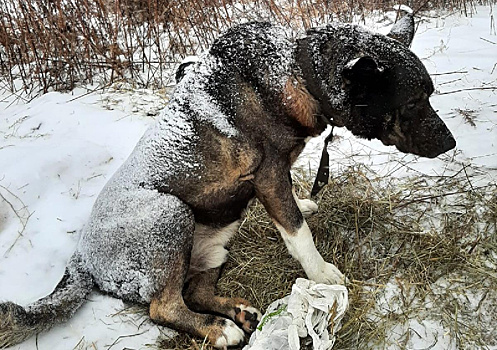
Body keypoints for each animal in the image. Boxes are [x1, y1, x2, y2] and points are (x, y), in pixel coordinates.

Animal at [0, 13, 454, 348]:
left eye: (428, 95)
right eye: (414, 102)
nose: (451, 143)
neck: (295, 71)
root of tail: (81, 261)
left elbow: (292, 206)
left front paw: (304, 203)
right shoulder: (269, 176)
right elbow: (298, 233)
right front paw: (322, 274)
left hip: (220, 234)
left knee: (195, 291)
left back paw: (237, 311)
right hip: (170, 214)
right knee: (163, 307)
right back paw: (219, 330)